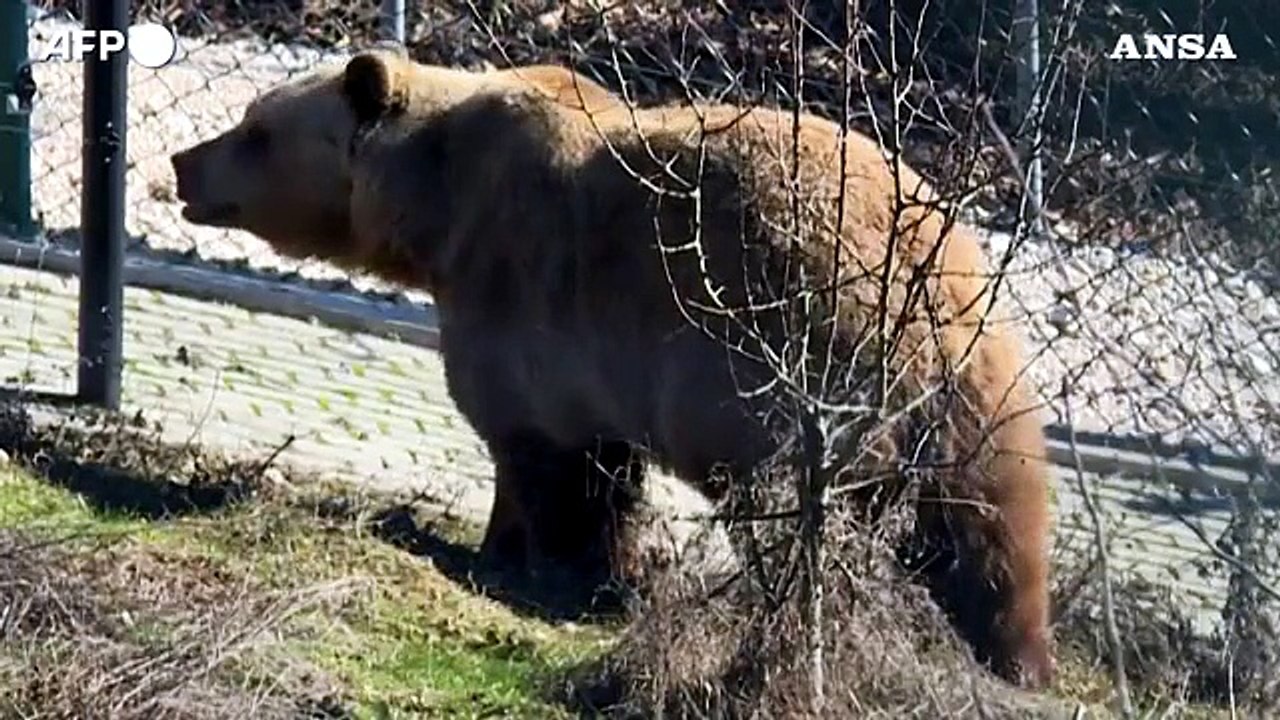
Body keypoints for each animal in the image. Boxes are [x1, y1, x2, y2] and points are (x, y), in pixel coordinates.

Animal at [170, 50, 1056, 689]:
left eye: (254, 128)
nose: (183, 159)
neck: (436, 202)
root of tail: (925, 285)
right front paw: (525, 553)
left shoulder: (530, 285)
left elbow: (551, 452)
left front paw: (552, 567)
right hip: (986, 386)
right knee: (990, 525)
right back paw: (1012, 651)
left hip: (793, 362)